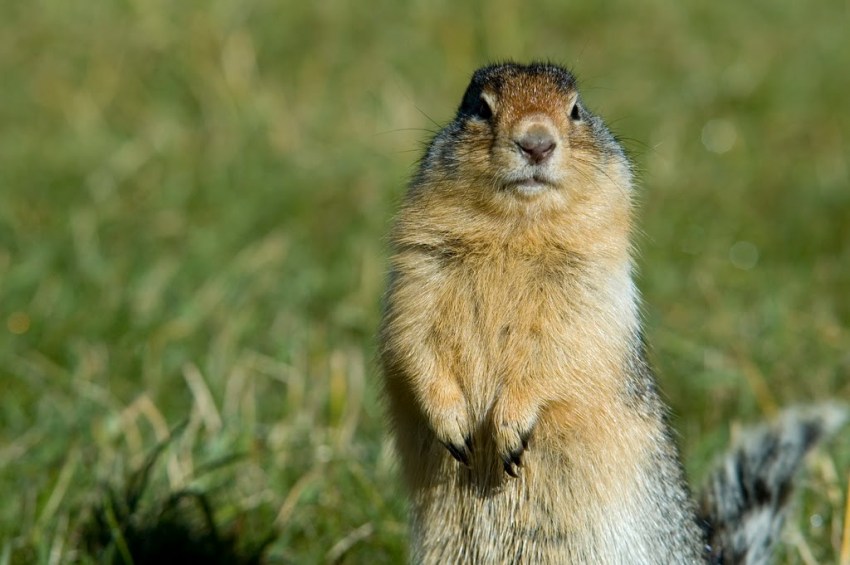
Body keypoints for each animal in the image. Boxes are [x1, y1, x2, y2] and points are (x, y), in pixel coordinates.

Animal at [380, 62, 844, 564]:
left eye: (576, 109)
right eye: (480, 107)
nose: (536, 142)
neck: (516, 231)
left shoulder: (591, 298)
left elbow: (559, 354)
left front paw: (511, 423)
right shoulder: (417, 276)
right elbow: (414, 344)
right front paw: (451, 423)